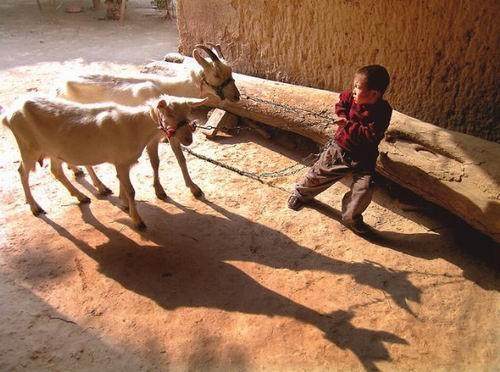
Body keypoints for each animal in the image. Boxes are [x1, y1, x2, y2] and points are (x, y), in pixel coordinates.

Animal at [0, 94, 206, 228]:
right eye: (169, 114)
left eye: (188, 112)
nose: (188, 139)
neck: (136, 126)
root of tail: (8, 115)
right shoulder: (121, 161)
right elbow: (131, 190)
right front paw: (137, 220)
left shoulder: (122, 162)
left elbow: (124, 182)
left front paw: (124, 204)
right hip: (28, 148)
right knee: (22, 172)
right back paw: (35, 207)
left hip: (53, 151)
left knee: (56, 171)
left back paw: (81, 196)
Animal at [56, 43, 240, 199]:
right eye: (216, 74)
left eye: (231, 72)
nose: (236, 96)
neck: (167, 89)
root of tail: (60, 87)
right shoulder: (154, 136)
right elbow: (155, 162)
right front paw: (160, 191)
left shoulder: (173, 132)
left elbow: (180, 158)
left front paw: (194, 188)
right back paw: (100, 186)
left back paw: (76, 170)